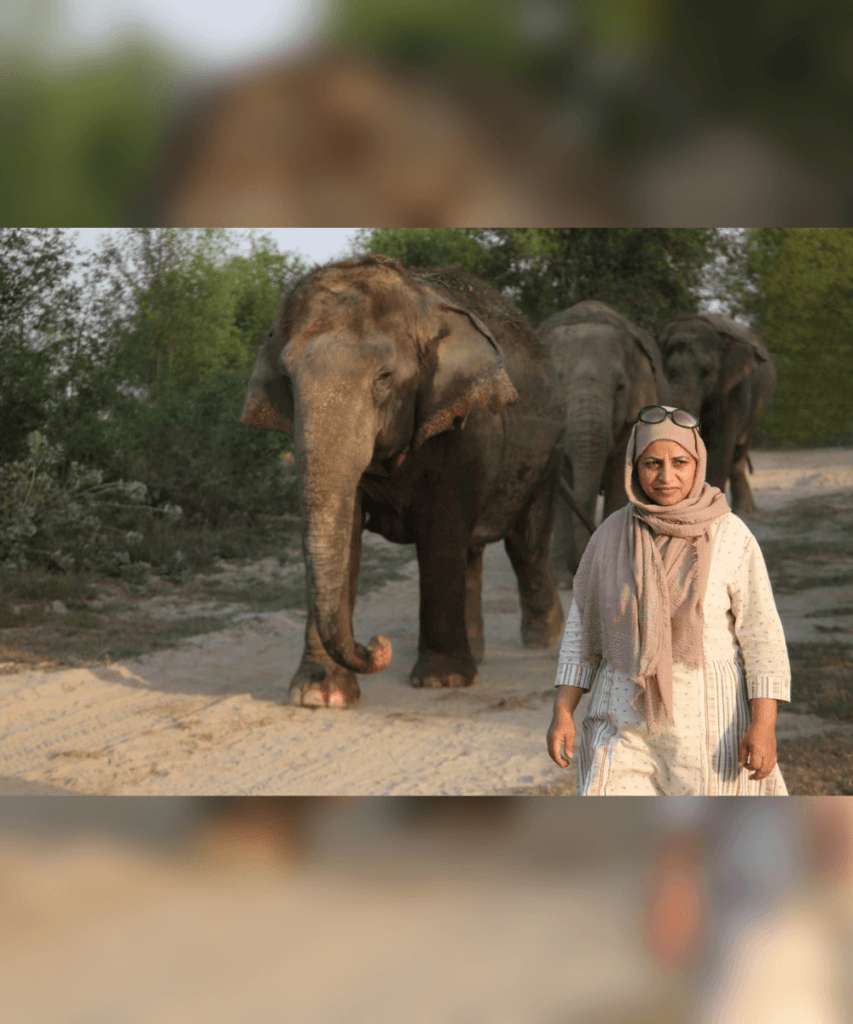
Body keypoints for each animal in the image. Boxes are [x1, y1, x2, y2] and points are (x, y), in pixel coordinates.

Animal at [239, 253, 565, 712]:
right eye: (287, 377)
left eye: (384, 377)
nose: (377, 645)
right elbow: (347, 534)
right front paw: (318, 696)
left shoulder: (465, 420)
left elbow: (441, 530)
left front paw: (442, 681)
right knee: (473, 551)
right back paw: (480, 651)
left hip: (548, 453)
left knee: (526, 544)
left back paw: (543, 639)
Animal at [655, 313, 774, 512]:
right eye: (667, 371)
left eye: (707, 371)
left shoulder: (735, 389)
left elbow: (720, 446)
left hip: (758, 408)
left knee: (739, 454)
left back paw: (745, 511)